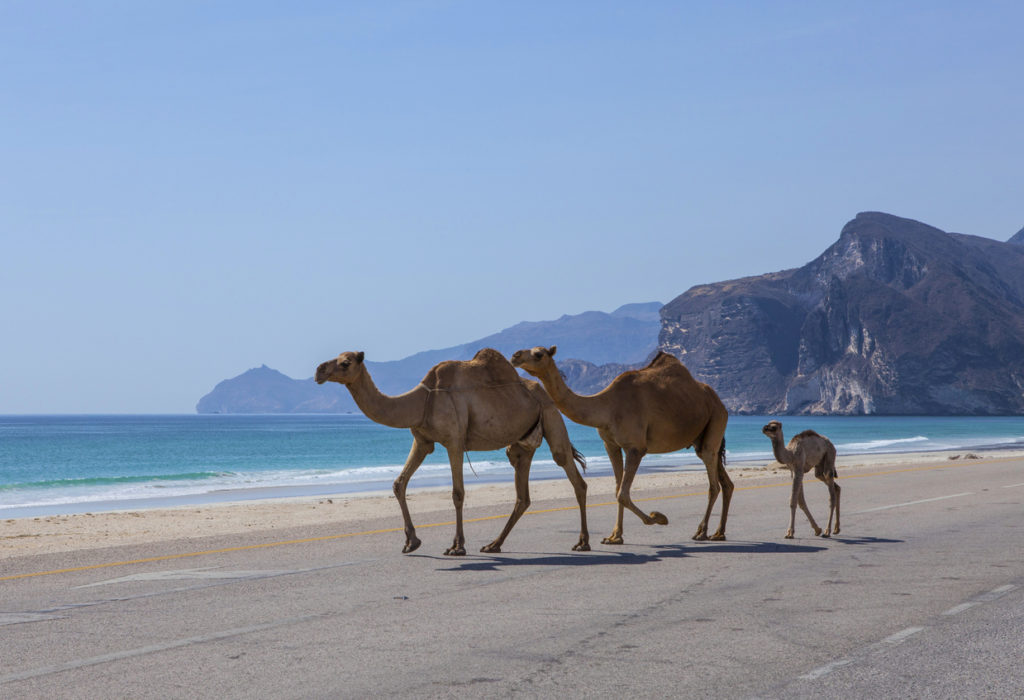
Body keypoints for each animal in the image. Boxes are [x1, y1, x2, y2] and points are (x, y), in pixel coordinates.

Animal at [313, 347, 593, 556]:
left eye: (345, 363)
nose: (319, 370)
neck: (421, 402)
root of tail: (543, 391)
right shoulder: (423, 441)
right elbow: (398, 483)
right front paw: (411, 542)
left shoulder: (454, 441)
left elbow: (457, 493)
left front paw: (457, 546)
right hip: (522, 443)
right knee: (522, 495)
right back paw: (494, 544)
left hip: (551, 415)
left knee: (572, 473)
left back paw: (583, 542)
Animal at [509, 347, 733, 544]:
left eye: (539, 354)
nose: (515, 356)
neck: (607, 407)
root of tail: (720, 402)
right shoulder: (611, 444)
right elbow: (617, 488)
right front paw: (614, 537)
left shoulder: (636, 447)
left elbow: (623, 494)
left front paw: (657, 517)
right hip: (701, 436)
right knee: (724, 481)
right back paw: (719, 533)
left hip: (716, 419)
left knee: (713, 483)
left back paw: (701, 532)